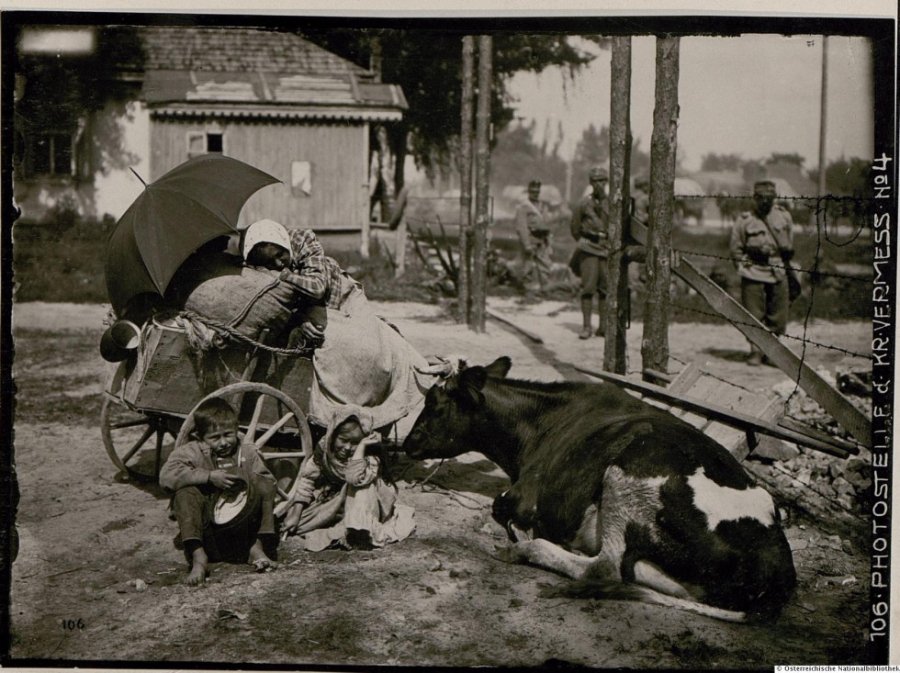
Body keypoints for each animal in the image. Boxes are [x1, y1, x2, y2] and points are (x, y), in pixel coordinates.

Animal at [403, 356, 796, 623]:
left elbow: (501, 507)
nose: (406, 444)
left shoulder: (524, 496)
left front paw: (524, 533)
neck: (539, 425)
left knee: (604, 568)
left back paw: (527, 549)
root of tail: (776, 563)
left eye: (434, 406)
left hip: (628, 475)